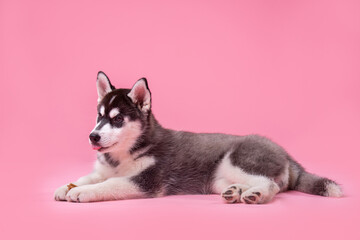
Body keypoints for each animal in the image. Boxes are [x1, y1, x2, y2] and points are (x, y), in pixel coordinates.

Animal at [53, 71, 344, 204]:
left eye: (117, 119)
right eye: (99, 116)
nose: (93, 137)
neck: (125, 154)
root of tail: (284, 152)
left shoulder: (145, 181)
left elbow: (108, 185)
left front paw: (81, 192)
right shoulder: (103, 169)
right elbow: (89, 177)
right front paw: (66, 186)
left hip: (238, 160)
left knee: (272, 185)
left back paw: (256, 194)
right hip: (218, 178)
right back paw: (236, 191)